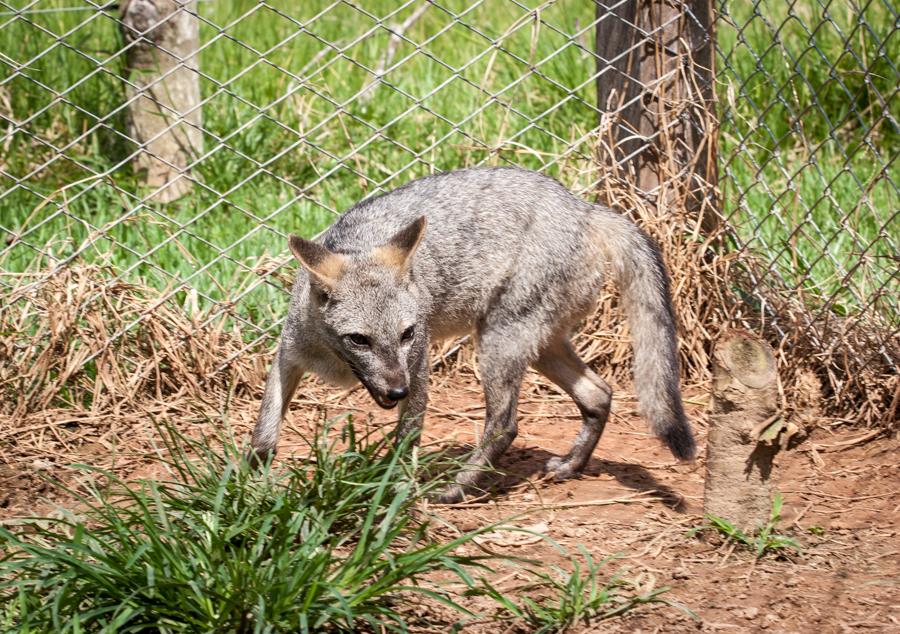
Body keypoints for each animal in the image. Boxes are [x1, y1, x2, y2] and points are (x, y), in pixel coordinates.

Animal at [248, 165, 696, 502]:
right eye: (359, 339)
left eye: (407, 333)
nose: (396, 391)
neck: (337, 363)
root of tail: (583, 208)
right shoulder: (288, 356)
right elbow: (264, 432)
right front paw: (248, 488)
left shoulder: (419, 364)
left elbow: (406, 438)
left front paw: (389, 492)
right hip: (539, 346)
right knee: (598, 394)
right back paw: (570, 466)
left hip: (500, 344)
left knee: (505, 425)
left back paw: (455, 490)